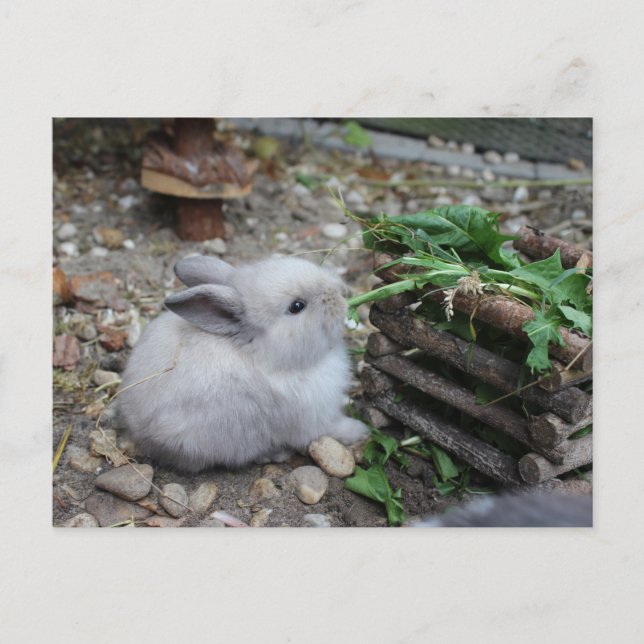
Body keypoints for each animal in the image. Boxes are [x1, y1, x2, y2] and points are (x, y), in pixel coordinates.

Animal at [117, 254, 369, 472]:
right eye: (297, 306)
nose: (344, 291)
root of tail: (139, 433)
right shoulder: (314, 420)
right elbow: (334, 428)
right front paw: (361, 431)